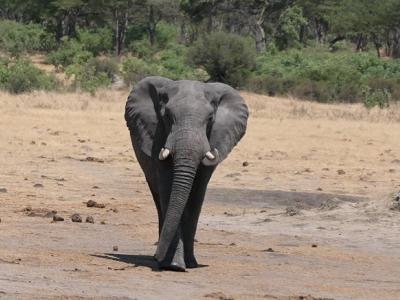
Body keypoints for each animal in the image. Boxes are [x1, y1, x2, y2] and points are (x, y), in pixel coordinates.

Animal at [125, 77, 248, 272]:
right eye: (167, 116)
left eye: (210, 119)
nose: (156, 256)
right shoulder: (158, 135)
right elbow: (168, 190)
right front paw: (173, 265)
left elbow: (196, 196)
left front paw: (188, 264)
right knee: (158, 198)